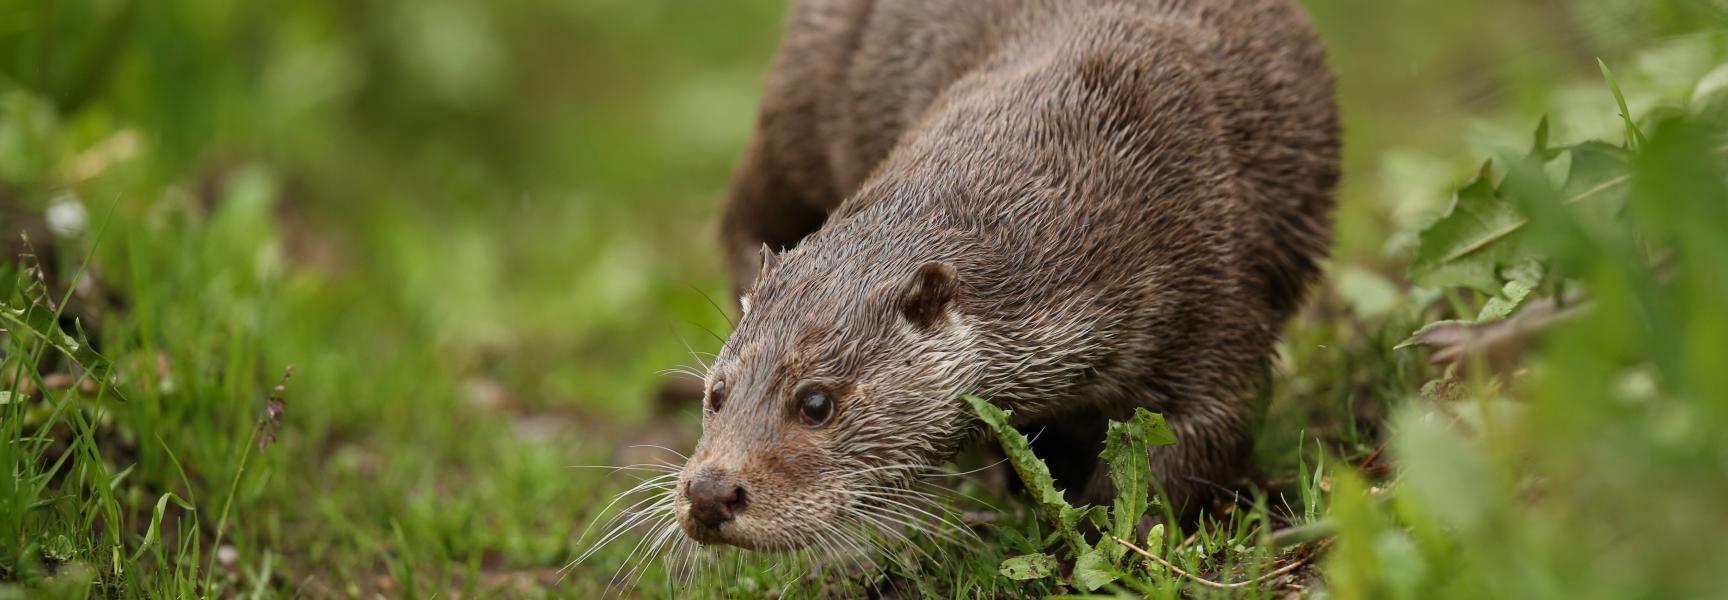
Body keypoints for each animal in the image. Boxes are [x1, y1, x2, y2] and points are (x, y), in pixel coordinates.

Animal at [678, 0, 1338, 553]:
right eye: (717, 393)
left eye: (816, 403)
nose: (710, 493)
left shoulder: (1215, 290)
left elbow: (1200, 433)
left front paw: (1097, 537)